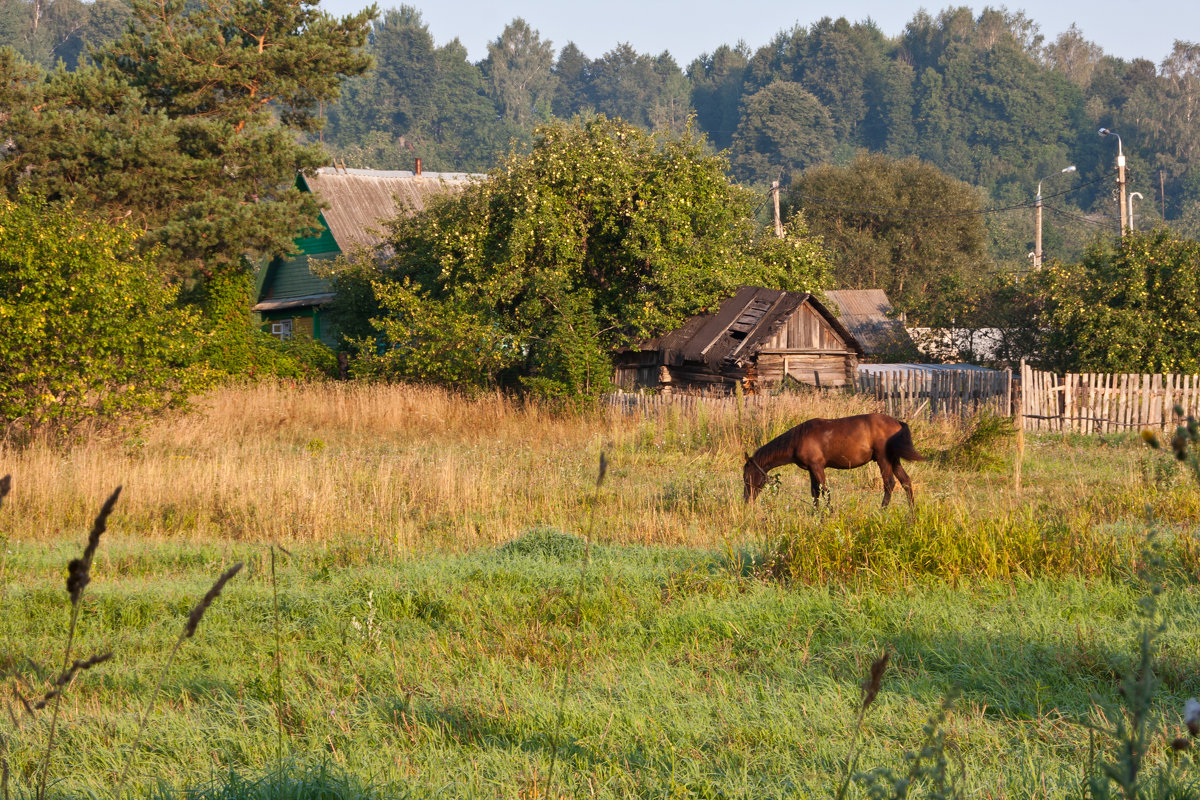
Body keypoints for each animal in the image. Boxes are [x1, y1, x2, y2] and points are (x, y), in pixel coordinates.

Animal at [739, 412, 926, 506]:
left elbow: (825, 491)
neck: (798, 439)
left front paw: (830, 514)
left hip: (884, 459)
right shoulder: (811, 469)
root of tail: (897, 423)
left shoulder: (818, 467)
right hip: (894, 460)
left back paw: (882, 511)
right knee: (906, 482)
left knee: (889, 484)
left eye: (747, 477)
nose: (746, 501)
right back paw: (912, 513)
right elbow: (815, 493)